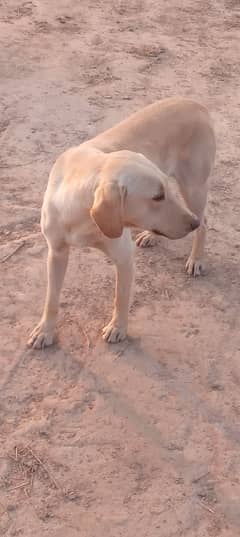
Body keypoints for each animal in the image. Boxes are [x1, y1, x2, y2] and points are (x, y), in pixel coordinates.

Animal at [27, 96, 216, 348]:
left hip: (193, 189)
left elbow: (121, 298)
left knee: (205, 221)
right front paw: (45, 330)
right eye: (157, 196)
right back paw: (154, 235)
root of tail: (194, 102)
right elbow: (51, 298)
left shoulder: (124, 257)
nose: (191, 223)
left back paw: (196, 258)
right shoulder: (56, 253)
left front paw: (118, 328)